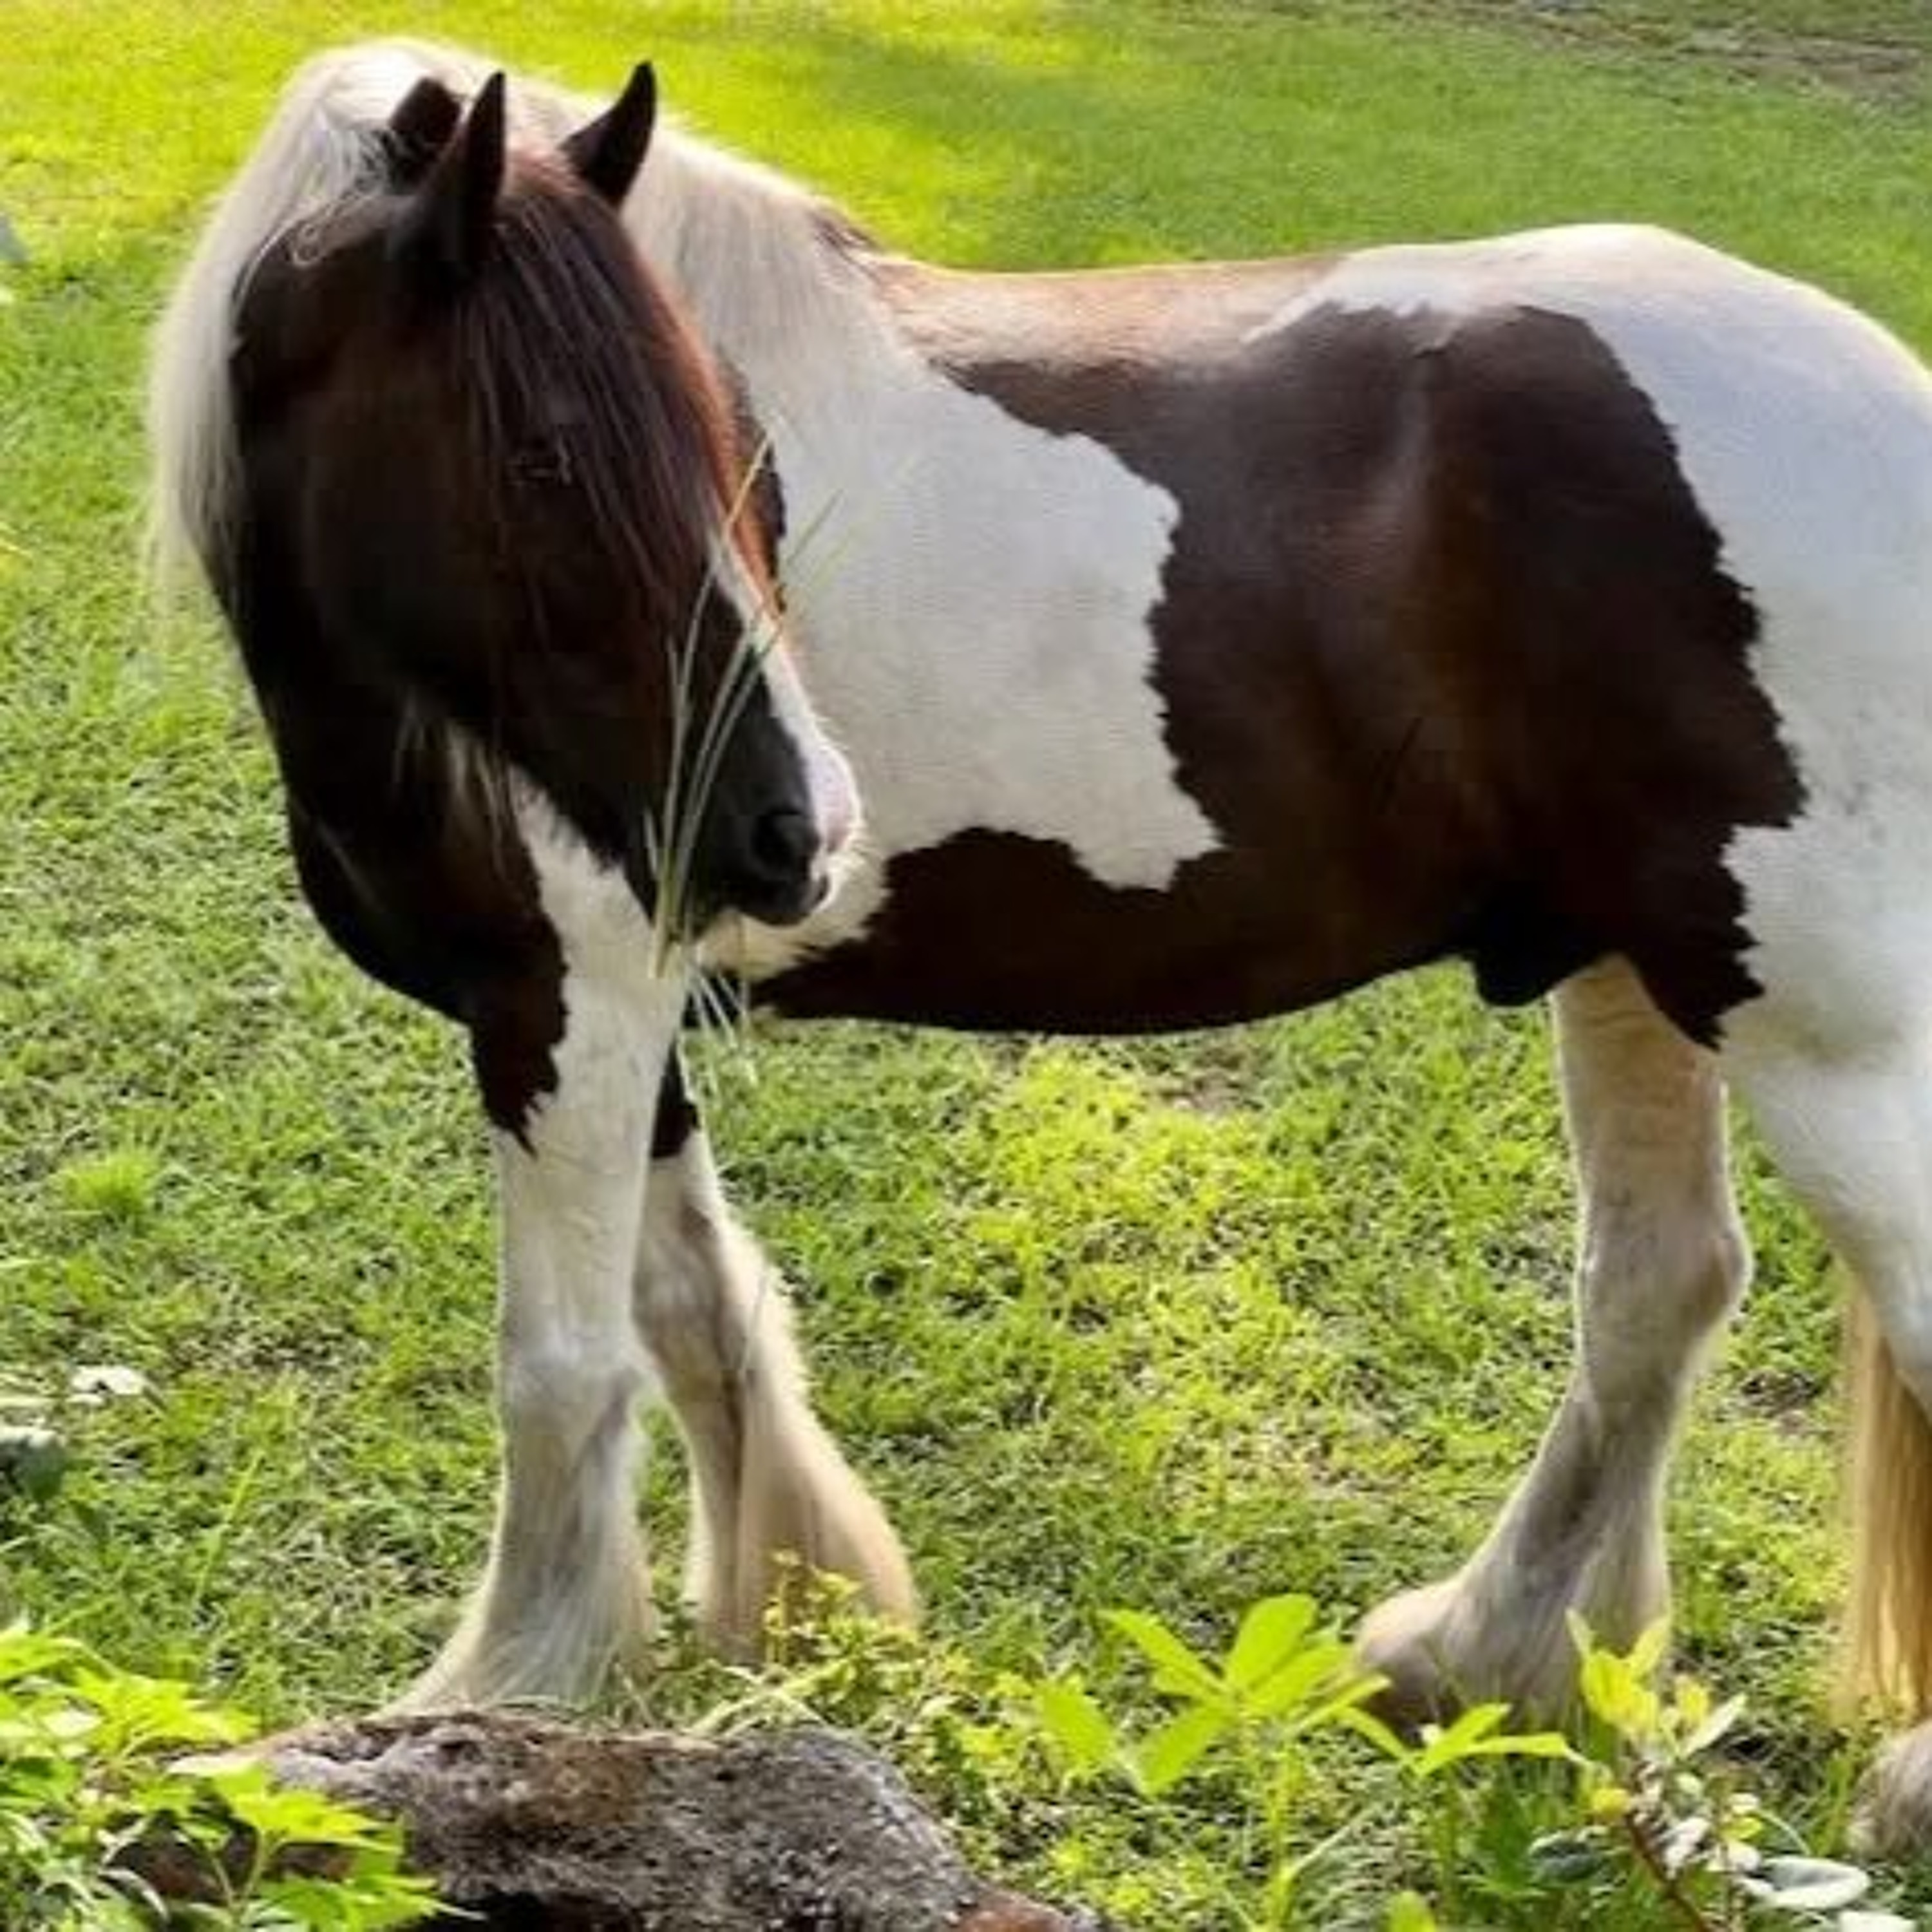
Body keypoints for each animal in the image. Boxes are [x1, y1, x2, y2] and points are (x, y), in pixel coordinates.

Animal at [150, 39, 1932, 1849]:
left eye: (726, 448)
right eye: (546, 463)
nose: (802, 829)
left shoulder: (561, 1001)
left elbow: (565, 1366)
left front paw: (506, 1692)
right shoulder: (642, 1018)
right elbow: (696, 1307)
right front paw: (781, 1621)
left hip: (1819, 1032)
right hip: (1635, 968)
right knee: (1655, 1288)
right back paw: (1484, 1657)